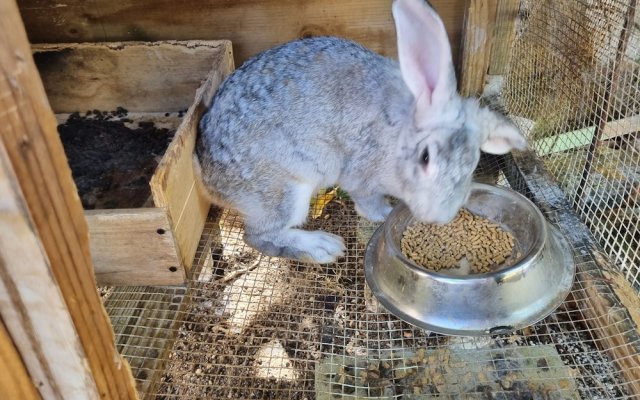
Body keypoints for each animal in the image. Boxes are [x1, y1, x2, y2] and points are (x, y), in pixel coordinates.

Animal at [195, 0, 524, 262]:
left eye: (473, 164)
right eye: (426, 158)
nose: (438, 216)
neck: (400, 133)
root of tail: (206, 175)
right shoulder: (361, 176)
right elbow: (367, 201)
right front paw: (384, 213)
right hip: (285, 190)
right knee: (258, 235)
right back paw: (323, 247)